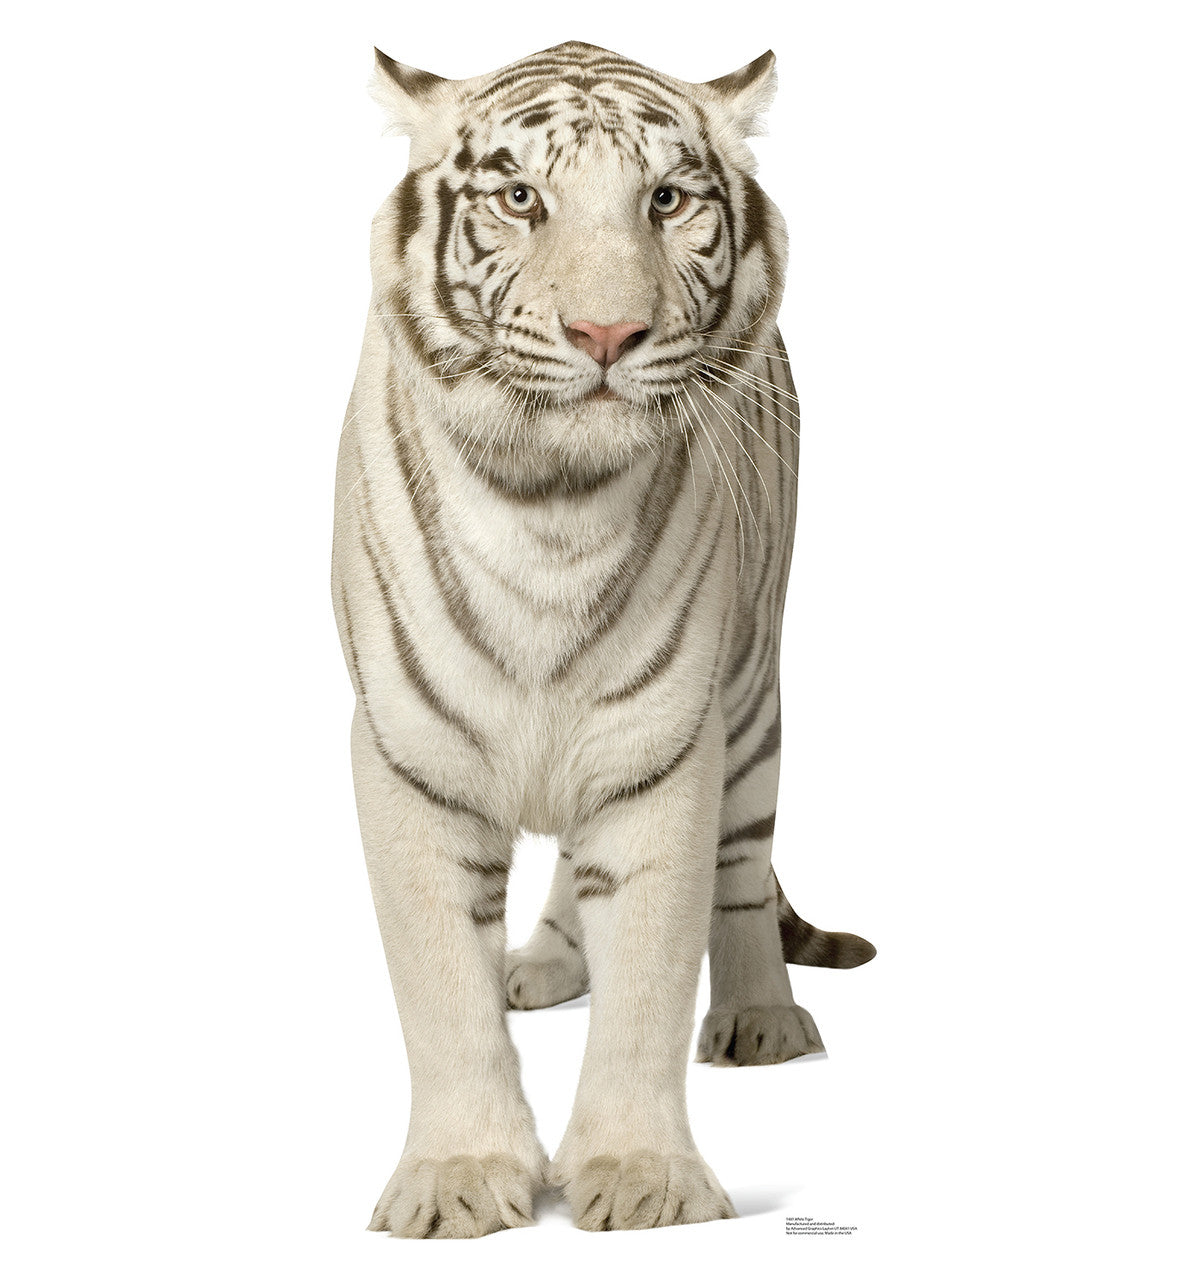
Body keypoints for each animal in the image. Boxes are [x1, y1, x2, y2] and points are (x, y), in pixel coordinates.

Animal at [332, 40, 875, 1238]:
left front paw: (640, 1176)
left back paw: (763, 1019)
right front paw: (457, 1178)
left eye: (665, 199)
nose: (606, 336)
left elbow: (651, 978)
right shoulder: (408, 755)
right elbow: (439, 984)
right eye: (520, 199)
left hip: (751, 694)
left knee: (739, 872)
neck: (547, 497)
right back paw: (537, 964)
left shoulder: (663, 747)